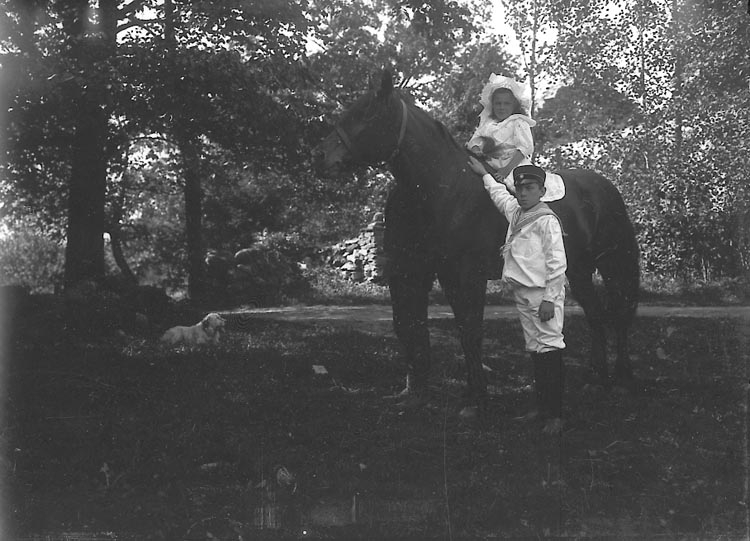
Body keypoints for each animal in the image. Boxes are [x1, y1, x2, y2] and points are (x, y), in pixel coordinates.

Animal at [314, 70, 640, 413]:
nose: (320, 156)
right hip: (578, 271)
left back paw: (622, 379)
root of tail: (605, 186)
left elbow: (470, 331)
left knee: (620, 315)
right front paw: (444, 392)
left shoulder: (467, 276)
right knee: (597, 316)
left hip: (614, 265)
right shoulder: (427, 274)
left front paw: (477, 397)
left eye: (367, 113)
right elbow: (430, 327)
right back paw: (596, 378)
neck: (442, 189)